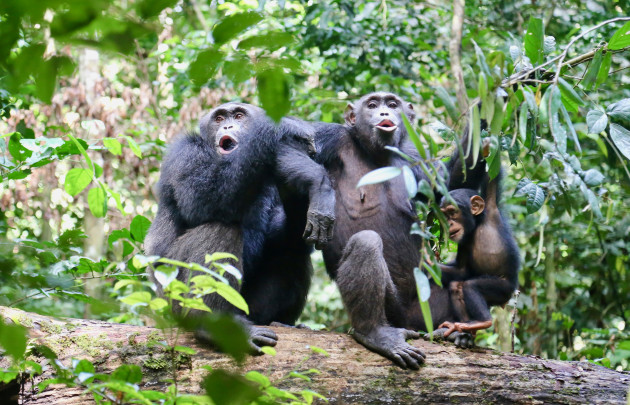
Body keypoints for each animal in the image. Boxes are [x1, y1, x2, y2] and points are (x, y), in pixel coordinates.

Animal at [146, 102, 338, 352]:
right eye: (219, 118)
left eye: (238, 115)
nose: (228, 125)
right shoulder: (183, 154)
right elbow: (203, 197)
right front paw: (284, 126)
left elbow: (284, 236)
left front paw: (308, 181)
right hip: (174, 298)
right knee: (219, 231)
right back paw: (214, 325)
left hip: (250, 308)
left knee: (293, 253)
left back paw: (281, 323)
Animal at [314, 92, 486, 370]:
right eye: (372, 105)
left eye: (392, 104)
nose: (385, 113)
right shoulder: (330, 138)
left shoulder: (417, 156)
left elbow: (447, 186)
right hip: (394, 311)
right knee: (366, 243)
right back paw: (375, 332)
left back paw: (457, 333)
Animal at [436, 159, 520, 336]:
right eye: (444, 215)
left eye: (452, 212)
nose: (449, 224)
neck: (477, 225)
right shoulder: (463, 242)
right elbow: (461, 271)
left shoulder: (492, 207)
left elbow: (492, 179)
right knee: (456, 285)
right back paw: (464, 326)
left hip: (503, 289)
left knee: (471, 286)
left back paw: (483, 321)